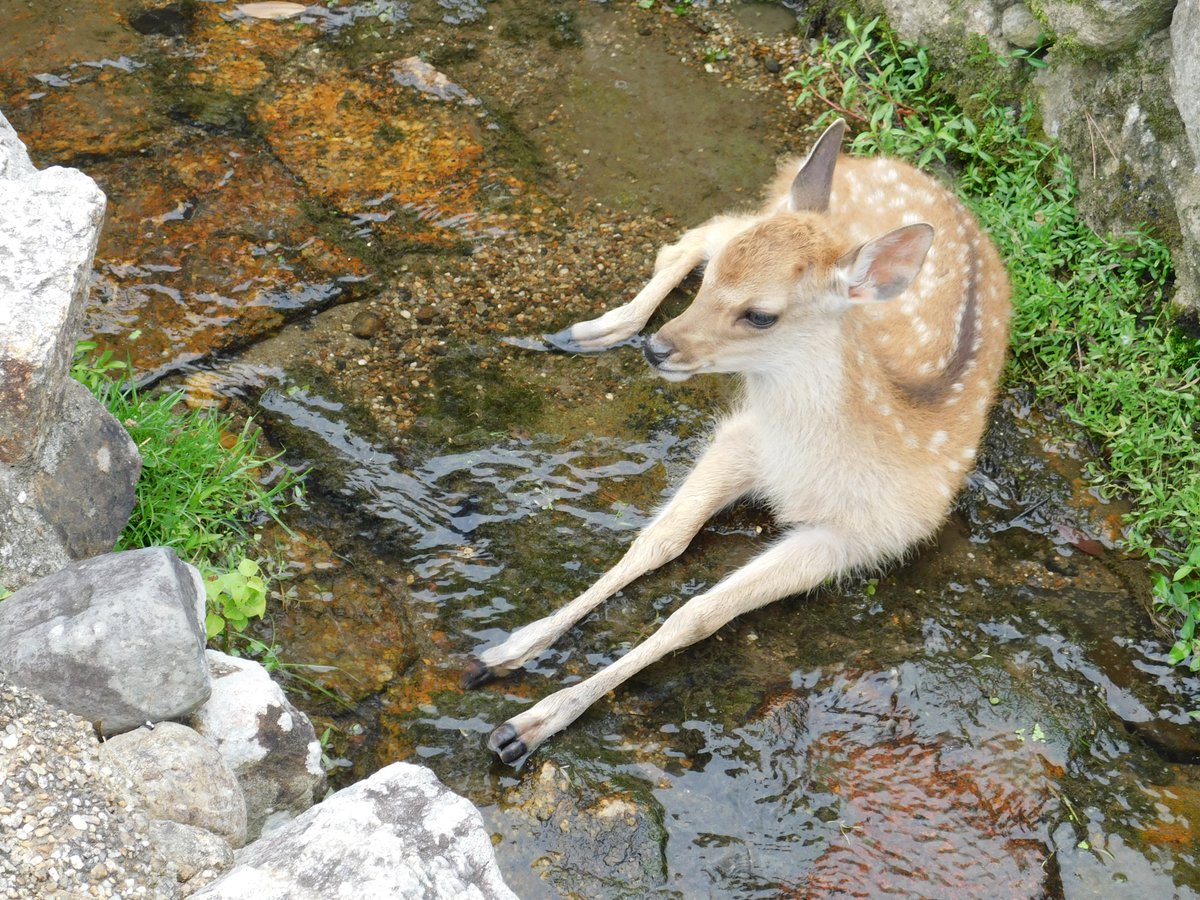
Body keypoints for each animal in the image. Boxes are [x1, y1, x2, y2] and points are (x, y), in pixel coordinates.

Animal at [462, 120, 1012, 763]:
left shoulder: (865, 537)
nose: (659, 350)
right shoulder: (743, 439)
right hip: (768, 207)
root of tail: (873, 158)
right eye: (718, 279)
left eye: (761, 315)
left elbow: (698, 614)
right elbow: (658, 540)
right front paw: (505, 650)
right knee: (703, 230)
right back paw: (597, 328)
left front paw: (527, 724)